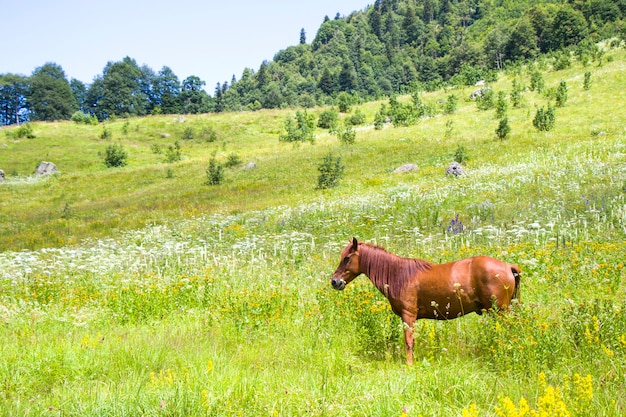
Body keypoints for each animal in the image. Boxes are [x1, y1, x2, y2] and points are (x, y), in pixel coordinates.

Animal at [330, 237, 520, 364]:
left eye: (347, 258)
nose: (335, 281)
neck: (399, 275)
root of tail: (507, 266)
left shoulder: (408, 316)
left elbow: (408, 342)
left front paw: (409, 365)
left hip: (500, 312)